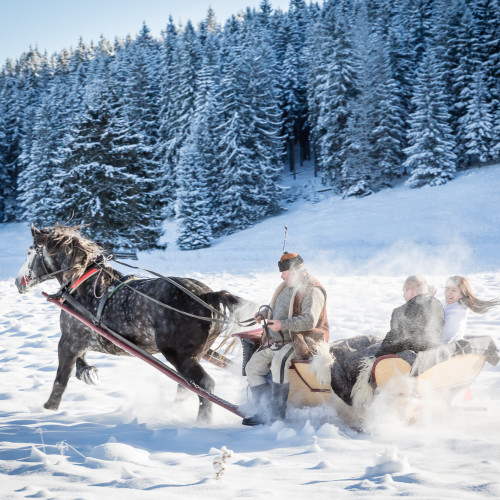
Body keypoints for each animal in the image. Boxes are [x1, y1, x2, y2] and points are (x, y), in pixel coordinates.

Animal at [15, 223, 242, 422]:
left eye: (29, 252)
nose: (18, 282)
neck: (83, 285)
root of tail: (208, 296)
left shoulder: (69, 339)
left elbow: (61, 379)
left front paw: (47, 410)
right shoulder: (81, 339)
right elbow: (80, 363)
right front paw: (89, 373)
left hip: (179, 356)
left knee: (204, 385)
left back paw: (202, 422)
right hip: (196, 355)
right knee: (189, 386)